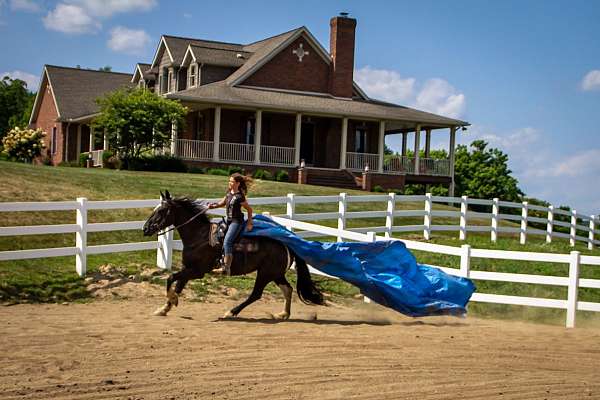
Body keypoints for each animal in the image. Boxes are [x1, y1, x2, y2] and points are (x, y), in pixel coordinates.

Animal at [144, 191, 326, 318]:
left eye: (162, 210)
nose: (145, 229)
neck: (200, 236)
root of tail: (286, 245)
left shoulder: (197, 271)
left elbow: (170, 279)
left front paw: (172, 301)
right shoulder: (187, 268)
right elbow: (177, 285)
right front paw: (164, 308)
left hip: (265, 273)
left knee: (256, 294)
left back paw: (231, 312)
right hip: (276, 274)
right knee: (288, 289)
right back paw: (283, 314)